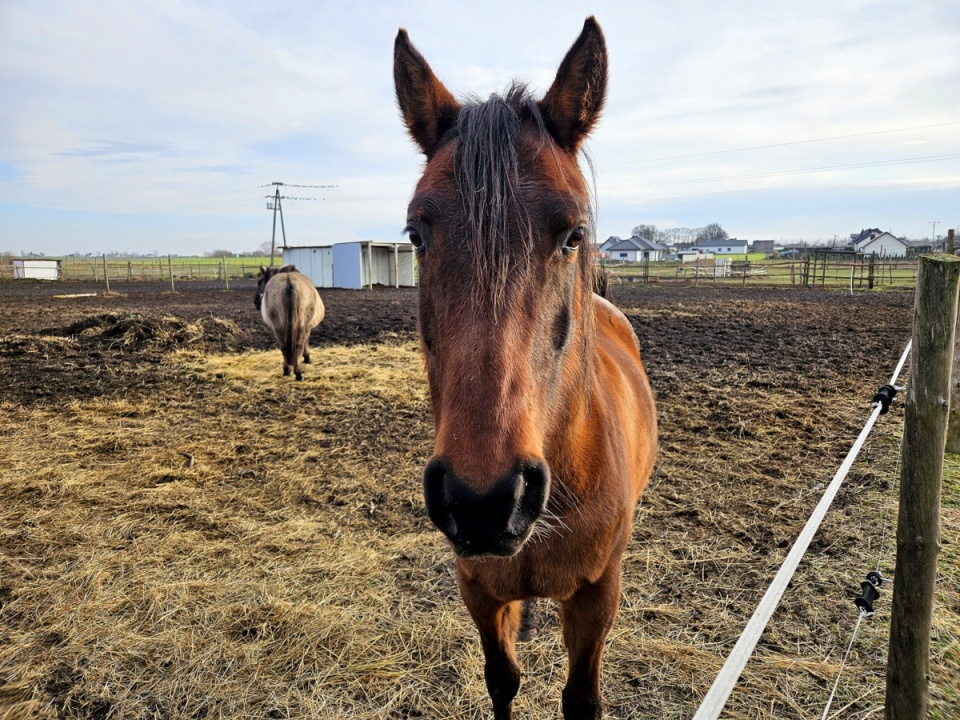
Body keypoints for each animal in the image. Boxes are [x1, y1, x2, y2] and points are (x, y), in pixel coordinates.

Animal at [394, 16, 656, 720]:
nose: (484, 500)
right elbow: (502, 680)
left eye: (572, 233)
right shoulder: (479, 590)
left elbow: (581, 699)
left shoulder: (597, 596)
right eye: (415, 234)